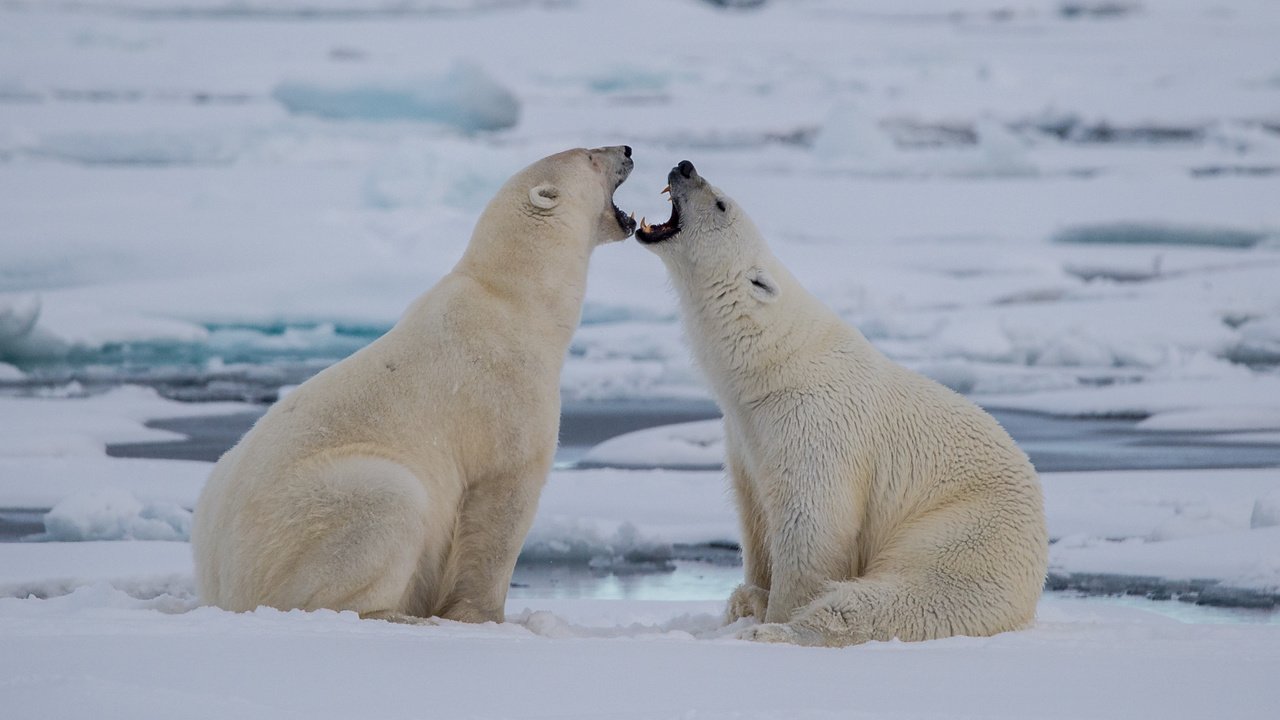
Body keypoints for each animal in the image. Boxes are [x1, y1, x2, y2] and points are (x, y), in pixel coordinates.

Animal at [192, 144, 637, 617]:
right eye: (590, 156)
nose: (627, 149)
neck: (515, 300)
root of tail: (225, 586)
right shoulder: (507, 391)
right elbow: (503, 501)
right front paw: (485, 615)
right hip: (313, 516)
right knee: (389, 504)